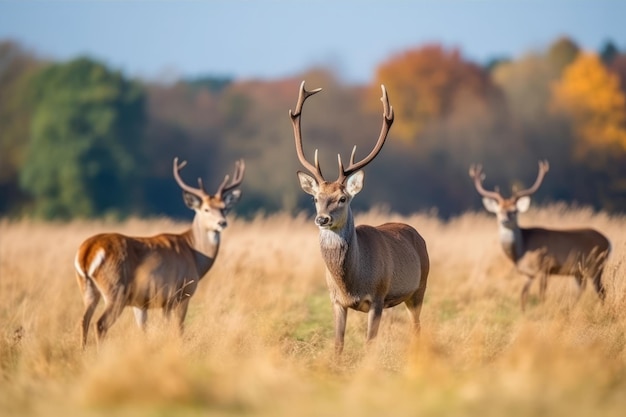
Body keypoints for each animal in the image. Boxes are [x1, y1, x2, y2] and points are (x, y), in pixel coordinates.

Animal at [73, 158, 244, 346]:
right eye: (206, 209)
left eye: (224, 207)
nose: (222, 223)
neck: (193, 255)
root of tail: (87, 251)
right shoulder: (179, 294)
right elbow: (177, 329)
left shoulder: (141, 303)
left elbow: (143, 331)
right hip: (116, 289)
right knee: (100, 324)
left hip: (88, 289)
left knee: (83, 320)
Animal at [288, 81, 428, 354]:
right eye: (315, 198)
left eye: (343, 198)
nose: (322, 219)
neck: (350, 284)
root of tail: (416, 233)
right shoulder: (335, 301)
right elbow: (338, 344)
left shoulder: (378, 297)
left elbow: (369, 344)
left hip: (420, 286)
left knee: (417, 327)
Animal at [468, 161, 608, 310]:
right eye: (498, 211)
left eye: (514, 211)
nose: (504, 221)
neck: (522, 250)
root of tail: (609, 242)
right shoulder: (529, 274)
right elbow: (523, 295)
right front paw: (523, 311)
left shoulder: (544, 266)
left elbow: (541, 295)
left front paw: (541, 310)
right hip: (579, 271)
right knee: (582, 290)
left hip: (596, 265)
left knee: (601, 291)